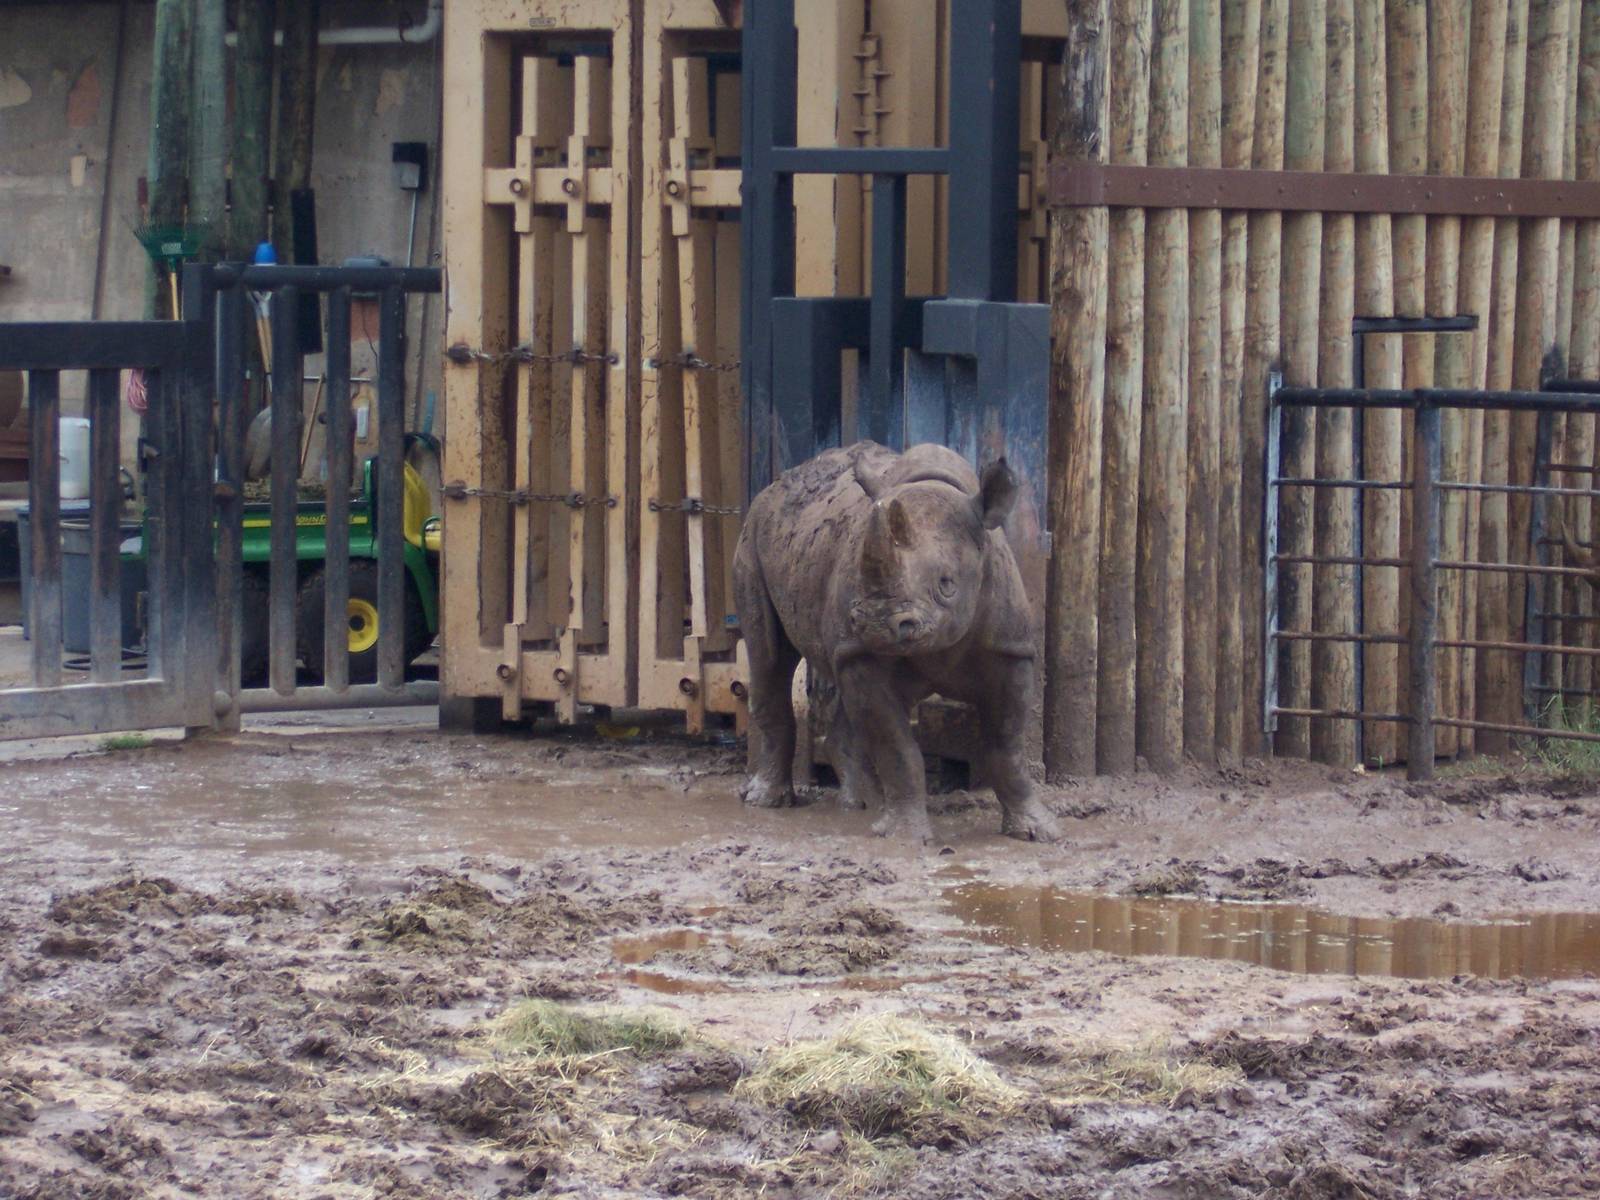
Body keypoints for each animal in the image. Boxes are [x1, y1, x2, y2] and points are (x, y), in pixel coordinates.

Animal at [732, 441, 1060, 844]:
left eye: (947, 584)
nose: (874, 623)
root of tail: (772, 487)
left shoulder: (1009, 648)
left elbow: (1008, 743)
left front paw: (1037, 831)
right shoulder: (863, 650)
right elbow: (897, 748)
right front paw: (904, 838)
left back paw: (861, 804)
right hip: (752, 539)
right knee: (769, 655)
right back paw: (768, 801)